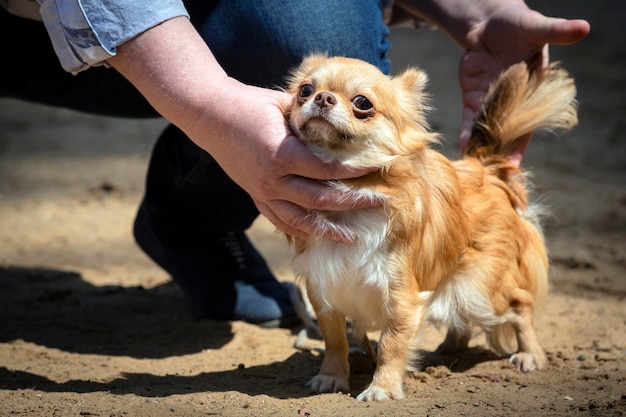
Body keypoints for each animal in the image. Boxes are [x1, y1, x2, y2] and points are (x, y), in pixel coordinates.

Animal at [282, 52, 576, 400]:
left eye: (362, 102)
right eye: (304, 90)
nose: (322, 97)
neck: (349, 200)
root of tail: (484, 168)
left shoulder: (400, 296)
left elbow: (392, 345)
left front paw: (382, 389)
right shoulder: (325, 290)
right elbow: (335, 340)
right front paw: (332, 377)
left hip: (482, 290)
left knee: (521, 303)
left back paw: (530, 354)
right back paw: (450, 347)